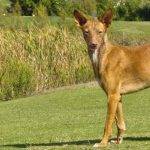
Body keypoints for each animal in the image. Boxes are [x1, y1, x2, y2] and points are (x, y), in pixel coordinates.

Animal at [73, 9, 150, 148]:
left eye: (100, 32)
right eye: (86, 32)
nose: (93, 45)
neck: (104, 56)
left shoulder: (112, 95)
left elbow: (108, 123)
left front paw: (102, 143)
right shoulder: (117, 96)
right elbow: (120, 123)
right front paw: (118, 141)